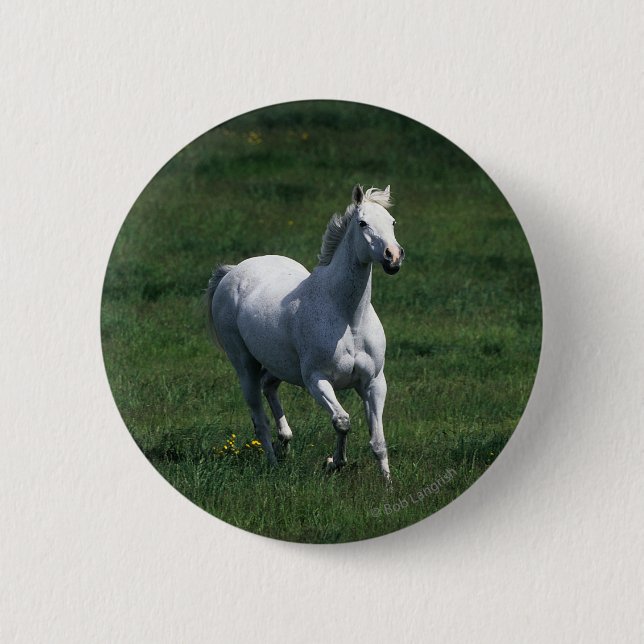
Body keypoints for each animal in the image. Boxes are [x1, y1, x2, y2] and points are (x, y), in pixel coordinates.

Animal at [206, 185, 405, 481]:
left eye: (392, 222)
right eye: (363, 223)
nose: (393, 257)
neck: (348, 318)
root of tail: (232, 271)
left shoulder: (374, 383)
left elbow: (378, 441)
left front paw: (387, 483)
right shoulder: (316, 380)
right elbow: (342, 421)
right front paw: (335, 462)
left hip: (279, 365)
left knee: (269, 387)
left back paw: (285, 442)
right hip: (244, 365)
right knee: (259, 418)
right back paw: (273, 463)